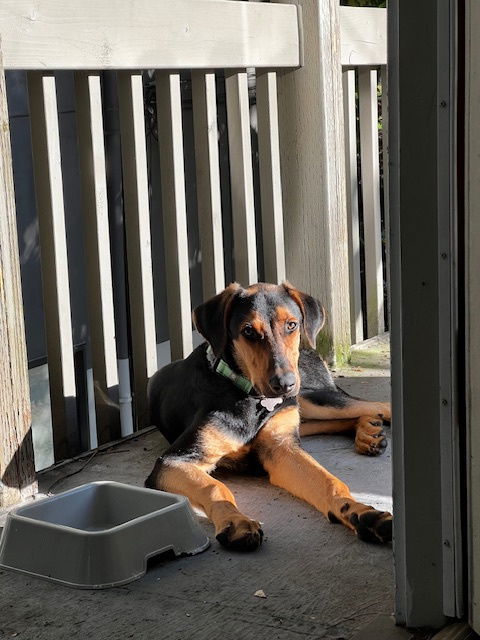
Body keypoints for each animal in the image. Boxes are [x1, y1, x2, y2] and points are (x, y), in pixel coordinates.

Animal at [144, 284, 392, 552]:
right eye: (248, 331)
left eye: (292, 325)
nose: (284, 384)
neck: (252, 398)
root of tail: (310, 350)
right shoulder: (174, 461)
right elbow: (214, 487)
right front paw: (235, 520)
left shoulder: (282, 447)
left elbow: (331, 481)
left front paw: (363, 512)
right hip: (302, 406)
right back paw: (368, 432)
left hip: (310, 398)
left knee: (377, 405)